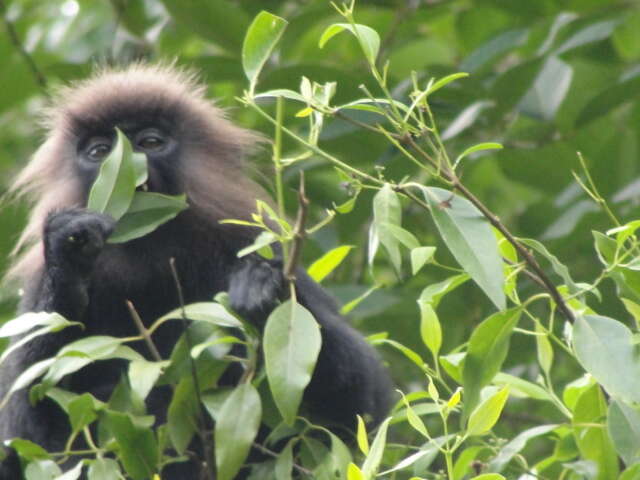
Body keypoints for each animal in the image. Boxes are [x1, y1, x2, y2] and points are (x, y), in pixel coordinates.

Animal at [0, 64, 392, 480]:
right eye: (100, 151)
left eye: (150, 142)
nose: (127, 163)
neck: (150, 254)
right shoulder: (37, 284)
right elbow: (27, 428)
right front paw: (70, 246)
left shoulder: (251, 240)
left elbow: (363, 405)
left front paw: (265, 291)